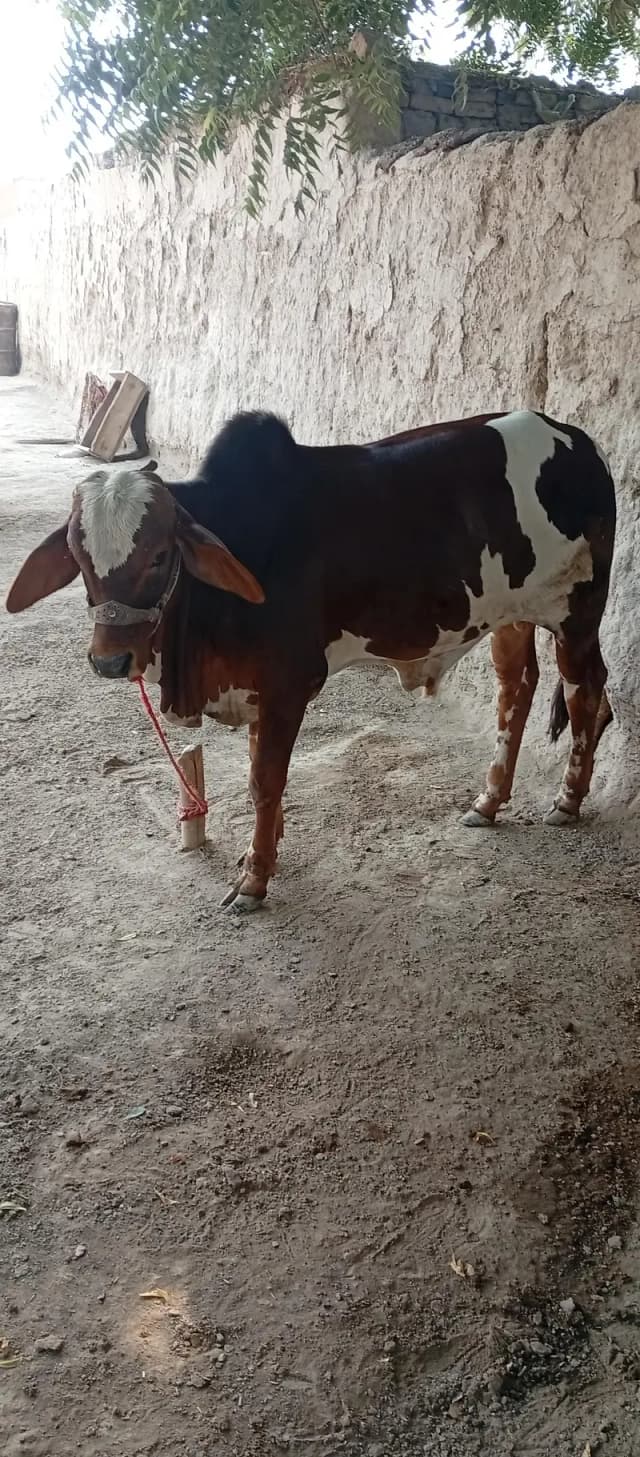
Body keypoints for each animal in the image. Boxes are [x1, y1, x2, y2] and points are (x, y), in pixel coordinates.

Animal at [6, 408, 616, 910]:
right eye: (79, 557)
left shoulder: (288, 683)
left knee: (586, 693)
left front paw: (254, 879)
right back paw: (488, 801)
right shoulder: (256, 688)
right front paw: (261, 851)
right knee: (518, 687)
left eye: (158, 556)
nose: (110, 660)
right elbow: (260, 776)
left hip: (577, 612)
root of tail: (578, 439)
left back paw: (566, 800)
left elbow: (264, 781)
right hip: (511, 614)